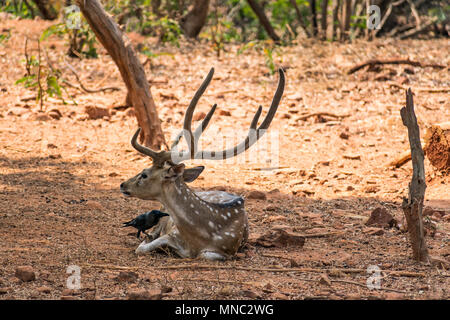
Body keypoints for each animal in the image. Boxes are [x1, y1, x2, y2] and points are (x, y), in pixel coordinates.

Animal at [120, 67, 284, 260]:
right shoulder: (171, 233)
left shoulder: (225, 251)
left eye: (144, 174)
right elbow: (144, 247)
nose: (123, 184)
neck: (202, 234)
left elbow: (203, 255)